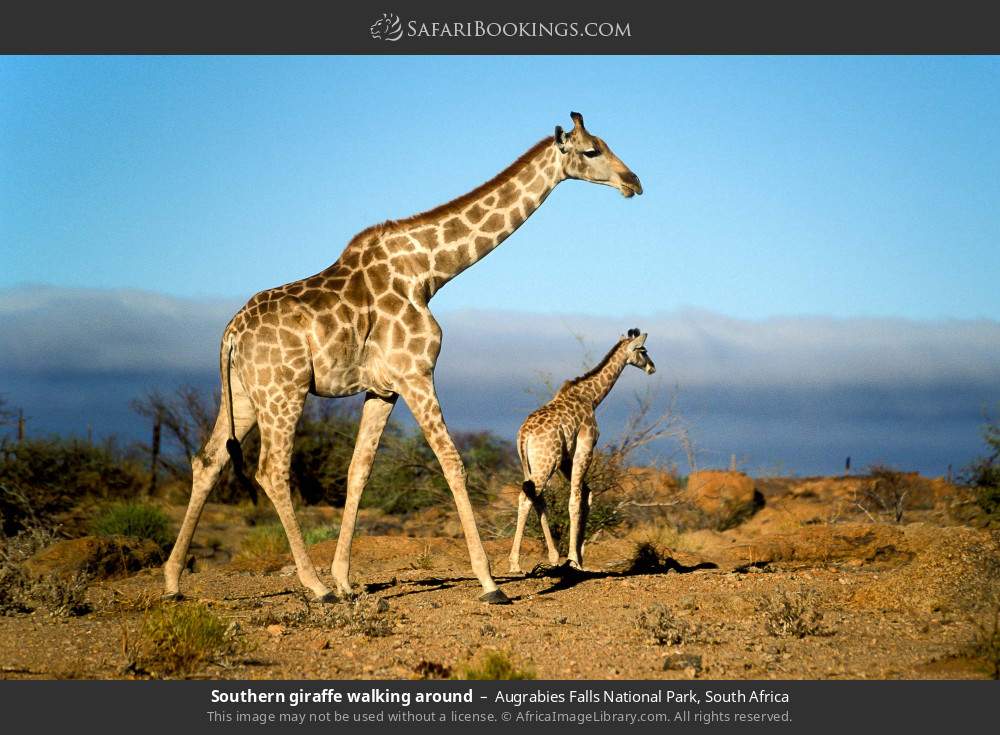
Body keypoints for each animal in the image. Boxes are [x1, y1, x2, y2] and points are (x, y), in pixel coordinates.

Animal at [509, 329, 656, 574]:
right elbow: (575, 499)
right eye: (643, 350)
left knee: (536, 497)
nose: (652, 367)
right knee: (526, 498)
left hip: (532, 465)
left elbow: (587, 494)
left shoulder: (566, 458)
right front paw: (574, 560)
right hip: (546, 463)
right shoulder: (585, 447)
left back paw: (553, 557)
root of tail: (523, 435)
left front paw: (578, 557)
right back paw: (515, 564)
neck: (592, 397)